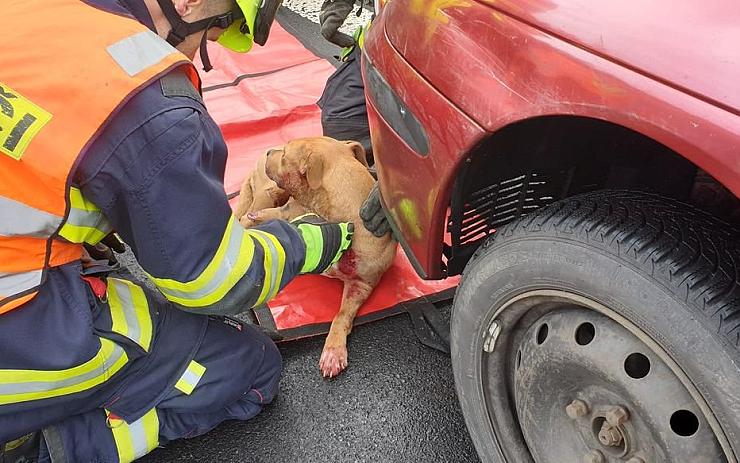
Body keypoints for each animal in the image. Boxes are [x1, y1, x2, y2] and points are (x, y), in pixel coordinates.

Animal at [246, 137, 396, 376]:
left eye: (284, 154)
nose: (269, 150)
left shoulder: (362, 285)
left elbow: (341, 315)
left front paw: (334, 350)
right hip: (267, 195)